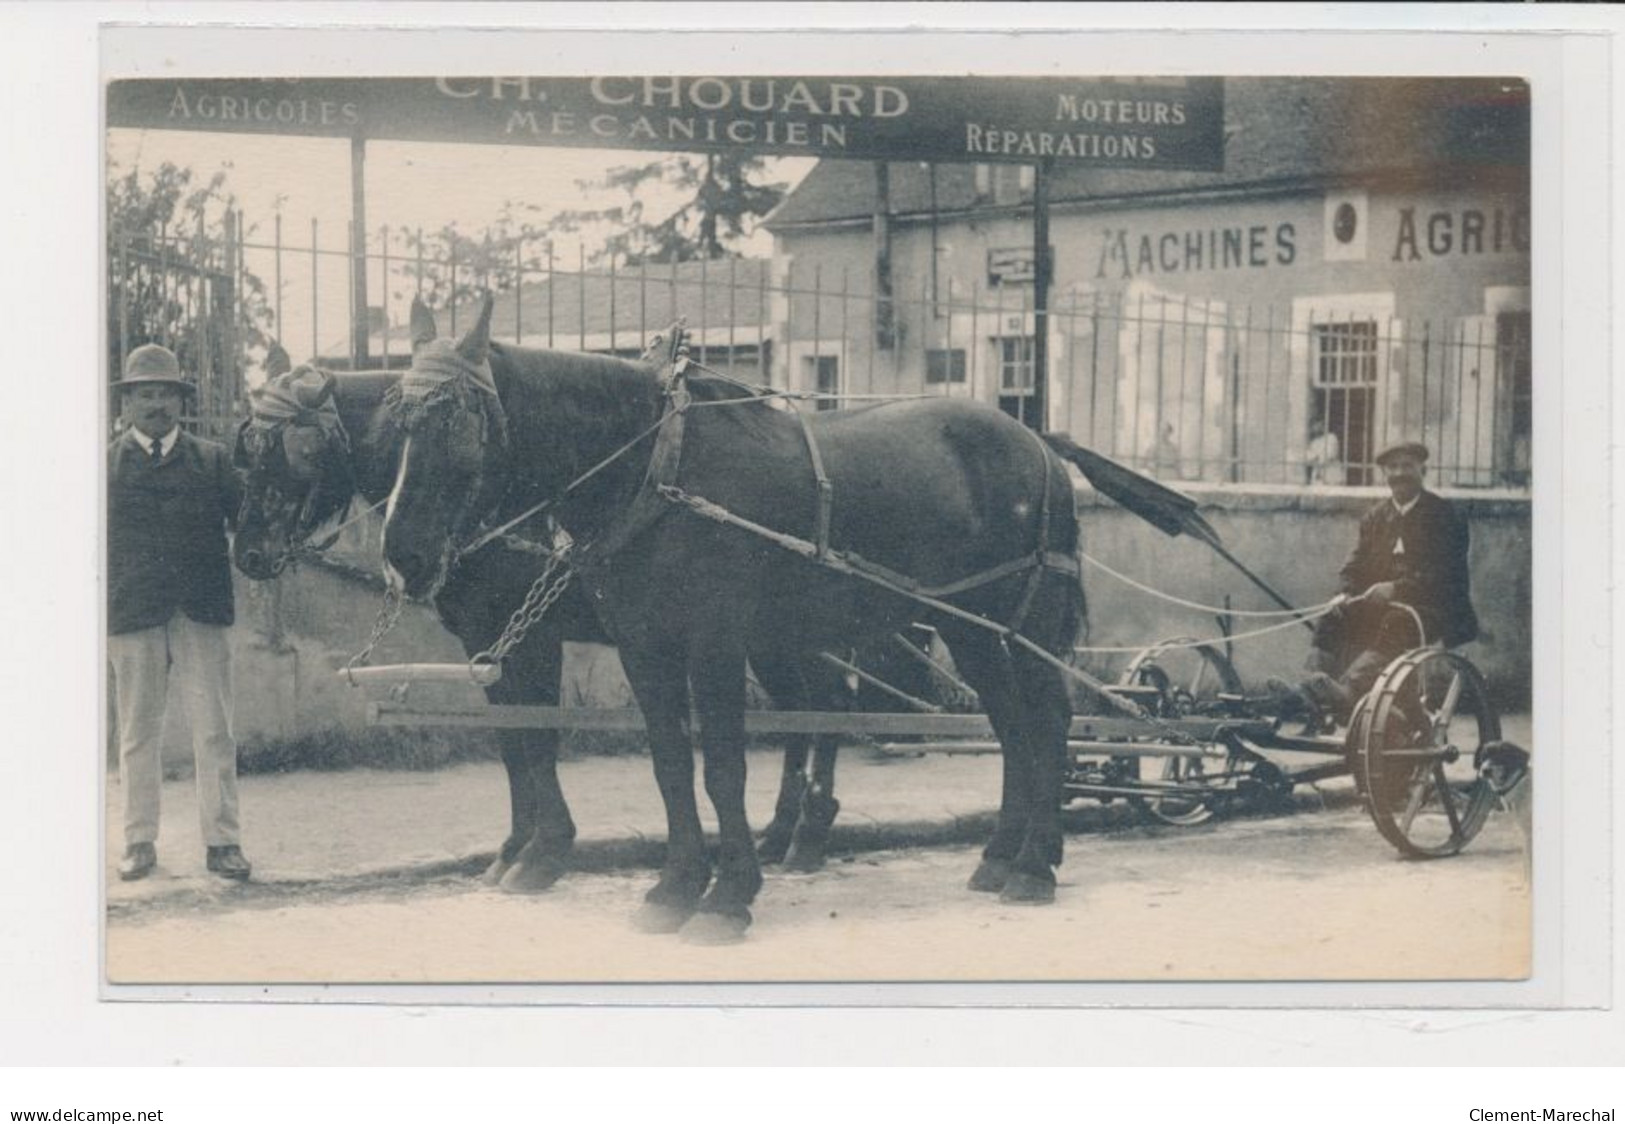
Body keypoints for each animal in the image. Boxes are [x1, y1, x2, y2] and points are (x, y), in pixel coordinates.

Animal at [230, 337, 877, 890]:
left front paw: (545, 852)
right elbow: (513, 741)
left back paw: (809, 831)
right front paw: (516, 846)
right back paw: (784, 830)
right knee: (805, 711)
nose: (248, 553)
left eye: (293, 451)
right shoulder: (486, 643)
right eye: (248, 452)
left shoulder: (531, 637)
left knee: (824, 706)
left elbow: (537, 738)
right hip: (774, 638)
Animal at [377, 293, 1131, 942]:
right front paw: (675, 887)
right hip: (967, 625)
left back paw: (1033, 863)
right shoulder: (643, 647)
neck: (655, 466)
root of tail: (1037, 440)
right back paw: (999, 855)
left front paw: (726, 895)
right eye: (396, 425)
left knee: (1047, 721)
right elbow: (668, 766)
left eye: (458, 422)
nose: (403, 554)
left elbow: (720, 770)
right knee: (1009, 725)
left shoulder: (711, 642)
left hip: (1022, 623)